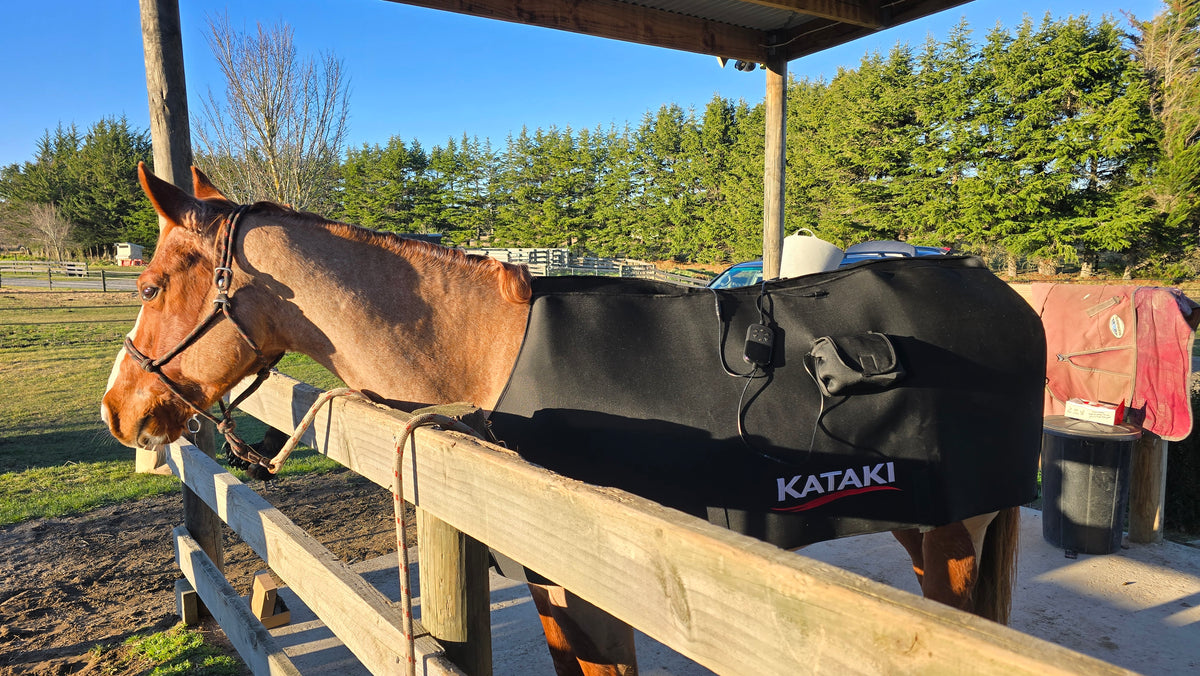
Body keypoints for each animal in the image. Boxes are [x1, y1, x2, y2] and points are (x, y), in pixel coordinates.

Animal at [103, 163, 1027, 676]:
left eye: (150, 285)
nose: (118, 409)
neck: (489, 352)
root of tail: (1006, 296)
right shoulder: (555, 588)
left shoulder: (593, 586)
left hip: (952, 537)